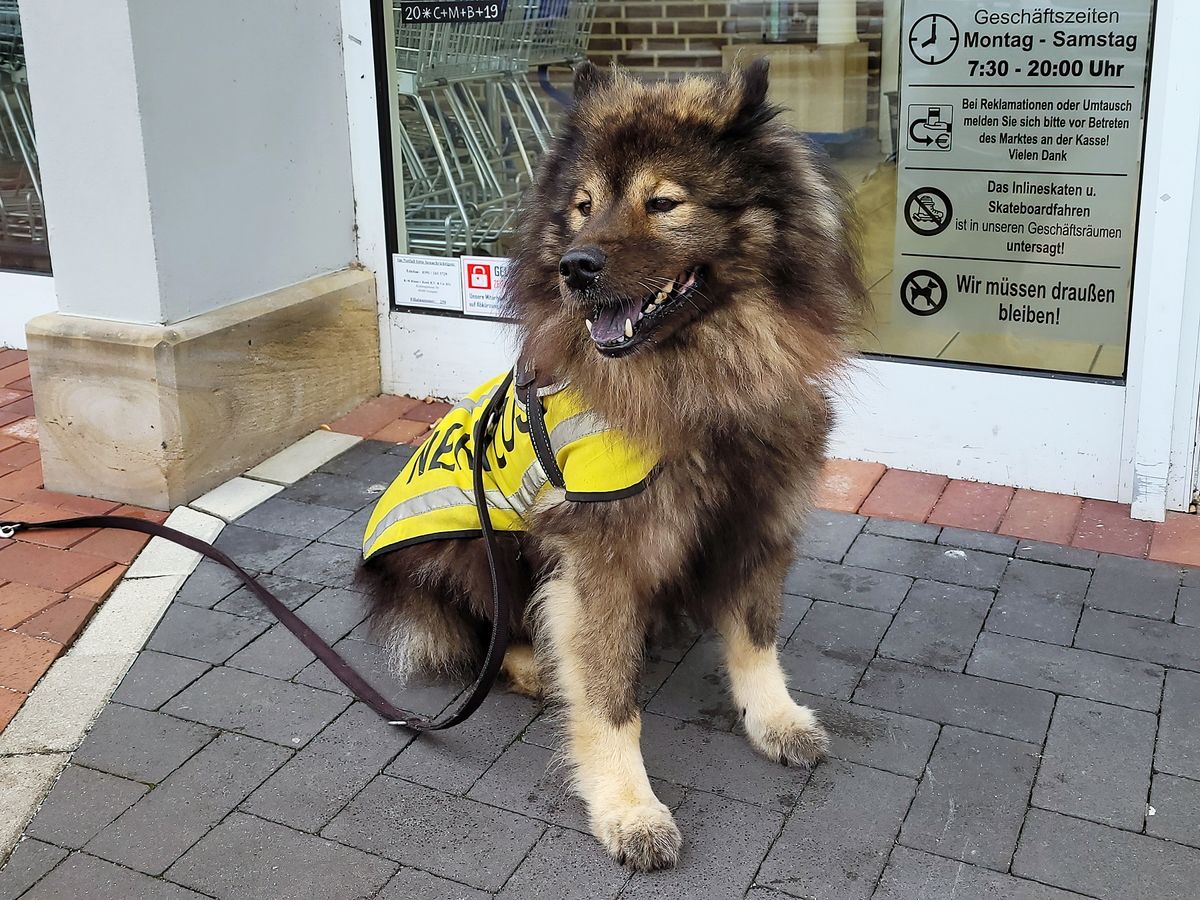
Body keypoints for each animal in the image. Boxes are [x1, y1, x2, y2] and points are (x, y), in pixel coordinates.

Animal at [360, 58, 868, 873]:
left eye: (663, 202)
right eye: (583, 207)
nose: (576, 267)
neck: (700, 383)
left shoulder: (760, 518)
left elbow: (755, 640)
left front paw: (776, 718)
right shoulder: (599, 560)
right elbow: (607, 702)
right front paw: (629, 810)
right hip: (481, 549)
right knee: (479, 638)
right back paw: (540, 668)